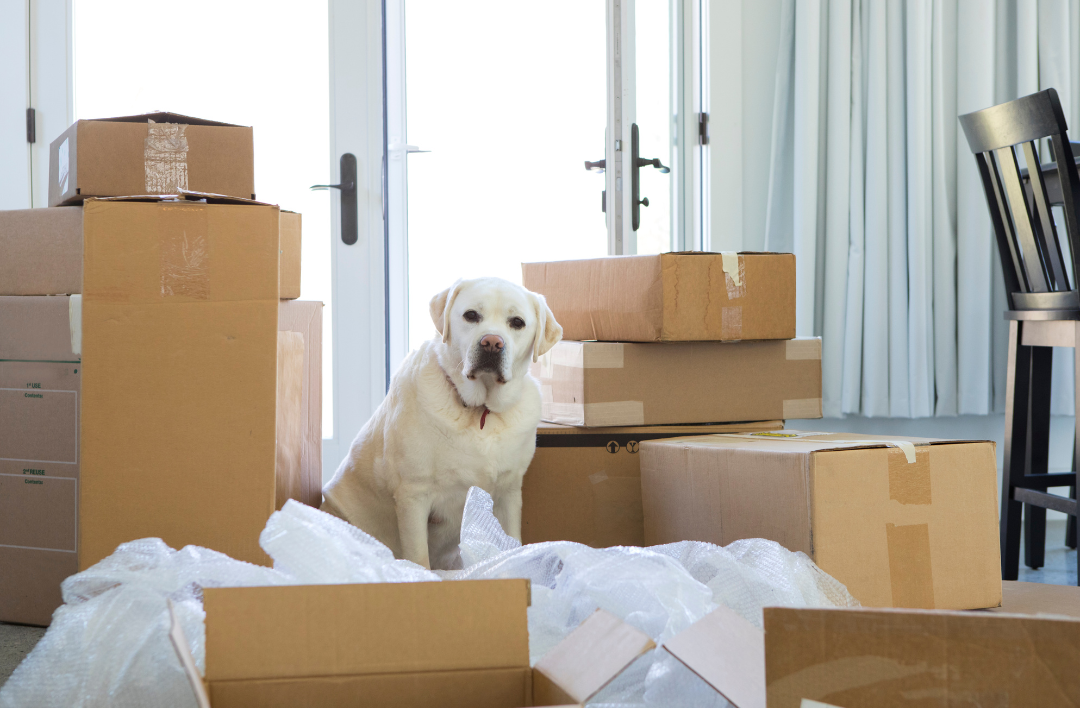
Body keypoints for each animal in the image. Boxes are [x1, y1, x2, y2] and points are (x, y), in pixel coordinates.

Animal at [319, 276, 561, 569]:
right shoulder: (413, 495)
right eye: (471, 315)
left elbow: (511, 540)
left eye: (517, 322)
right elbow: (418, 557)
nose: (492, 342)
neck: (480, 411)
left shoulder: (509, 492)